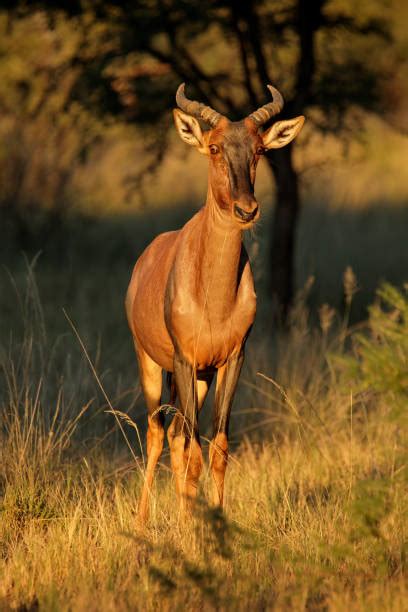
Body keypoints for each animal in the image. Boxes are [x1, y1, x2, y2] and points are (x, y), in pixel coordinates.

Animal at [126, 82, 304, 520]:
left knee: (175, 434)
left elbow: (217, 446)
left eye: (259, 149)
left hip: (200, 379)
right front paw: (192, 528)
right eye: (214, 147)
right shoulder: (184, 359)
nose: (247, 209)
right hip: (153, 364)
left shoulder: (232, 359)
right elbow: (192, 449)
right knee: (157, 432)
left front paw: (213, 519)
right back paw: (143, 522)